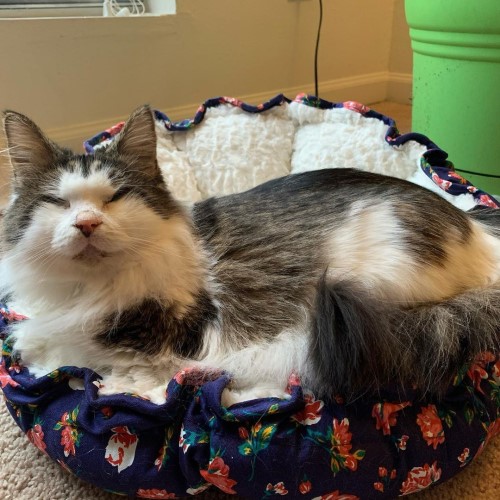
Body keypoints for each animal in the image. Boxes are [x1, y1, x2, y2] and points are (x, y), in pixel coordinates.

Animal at [0, 105, 500, 406]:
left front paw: (118, 384)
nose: (86, 224)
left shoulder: (181, 336)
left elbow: (118, 366)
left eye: (115, 198)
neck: (87, 291)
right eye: (57, 203)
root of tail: (477, 230)